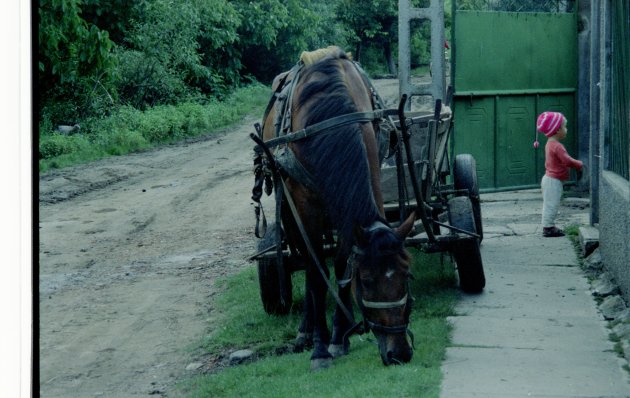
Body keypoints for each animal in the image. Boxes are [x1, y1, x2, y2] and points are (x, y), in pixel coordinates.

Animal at [260, 47, 418, 370]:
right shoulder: (306, 206)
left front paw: (339, 337)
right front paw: (321, 348)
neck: (332, 118)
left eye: (406, 275)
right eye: (367, 282)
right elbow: (317, 274)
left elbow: (342, 263)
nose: (399, 353)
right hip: (289, 208)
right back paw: (305, 331)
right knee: (305, 259)